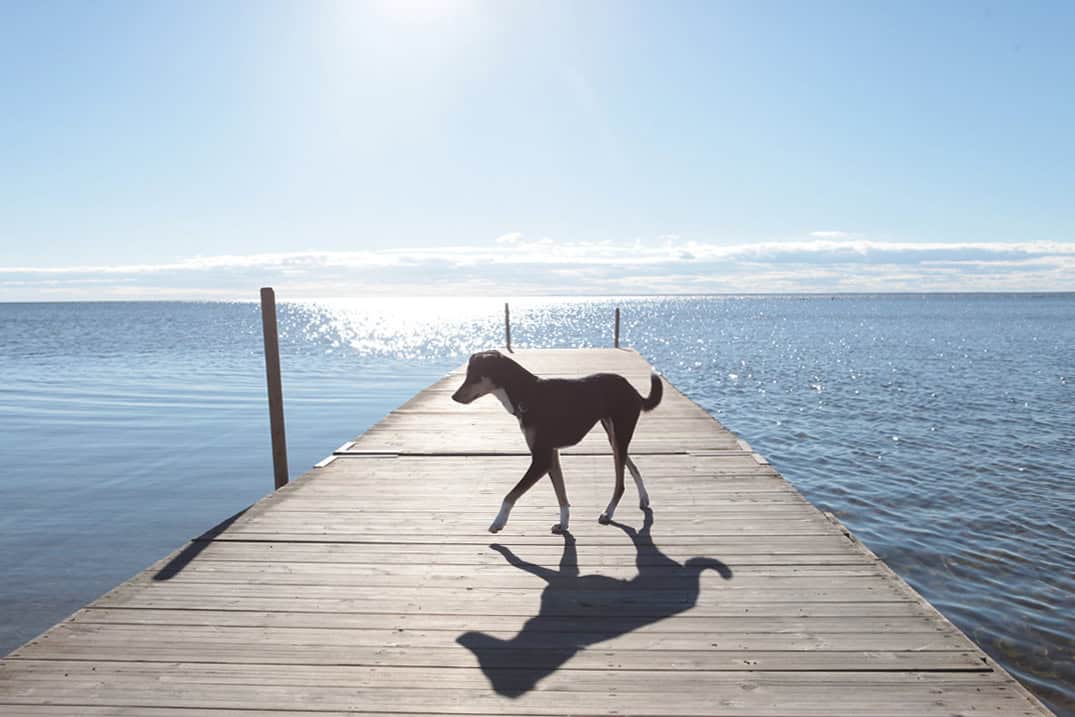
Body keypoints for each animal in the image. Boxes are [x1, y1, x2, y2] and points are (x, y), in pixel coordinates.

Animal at [447, 350, 662, 535]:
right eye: (467, 375)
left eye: (475, 376)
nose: (454, 397)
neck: (527, 393)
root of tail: (632, 389)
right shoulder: (552, 455)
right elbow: (561, 494)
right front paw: (563, 524)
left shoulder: (541, 459)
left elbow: (510, 495)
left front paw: (498, 522)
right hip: (614, 436)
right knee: (632, 466)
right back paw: (644, 498)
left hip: (619, 435)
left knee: (620, 483)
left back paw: (608, 513)